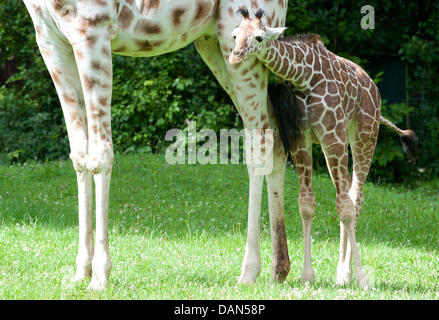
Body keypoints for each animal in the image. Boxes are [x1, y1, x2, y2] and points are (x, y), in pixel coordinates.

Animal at [23, 0, 292, 290]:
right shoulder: (49, 37)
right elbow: (79, 156)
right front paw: (80, 273)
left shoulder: (92, 28)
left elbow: (100, 156)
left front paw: (100, 275)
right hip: (213, 43)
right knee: (275, 139)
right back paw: (279, 270)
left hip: (243, 39)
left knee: (260, 141)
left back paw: (249, 272)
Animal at [229, 8, 418, 288]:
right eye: (234, 35)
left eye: (259, 38)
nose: (235, 55)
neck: (304, 77)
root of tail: (374, 89)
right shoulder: (302, 138)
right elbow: (306, 204)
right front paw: (307, 275)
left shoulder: (332, 135)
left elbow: (344, 207)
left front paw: (363, 277)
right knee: (350, 193)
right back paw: (342, 274)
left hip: (364, 134)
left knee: (355, 198)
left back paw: (348, 274)